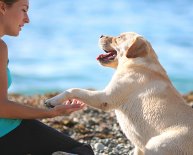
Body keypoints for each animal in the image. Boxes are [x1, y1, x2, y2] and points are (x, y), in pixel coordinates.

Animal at [45, 32, 193, 154]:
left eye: (119, 37)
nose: (101, 35)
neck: (136, 62)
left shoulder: (105, 98)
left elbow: (74, 89)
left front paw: (53, 100)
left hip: (157, 143)